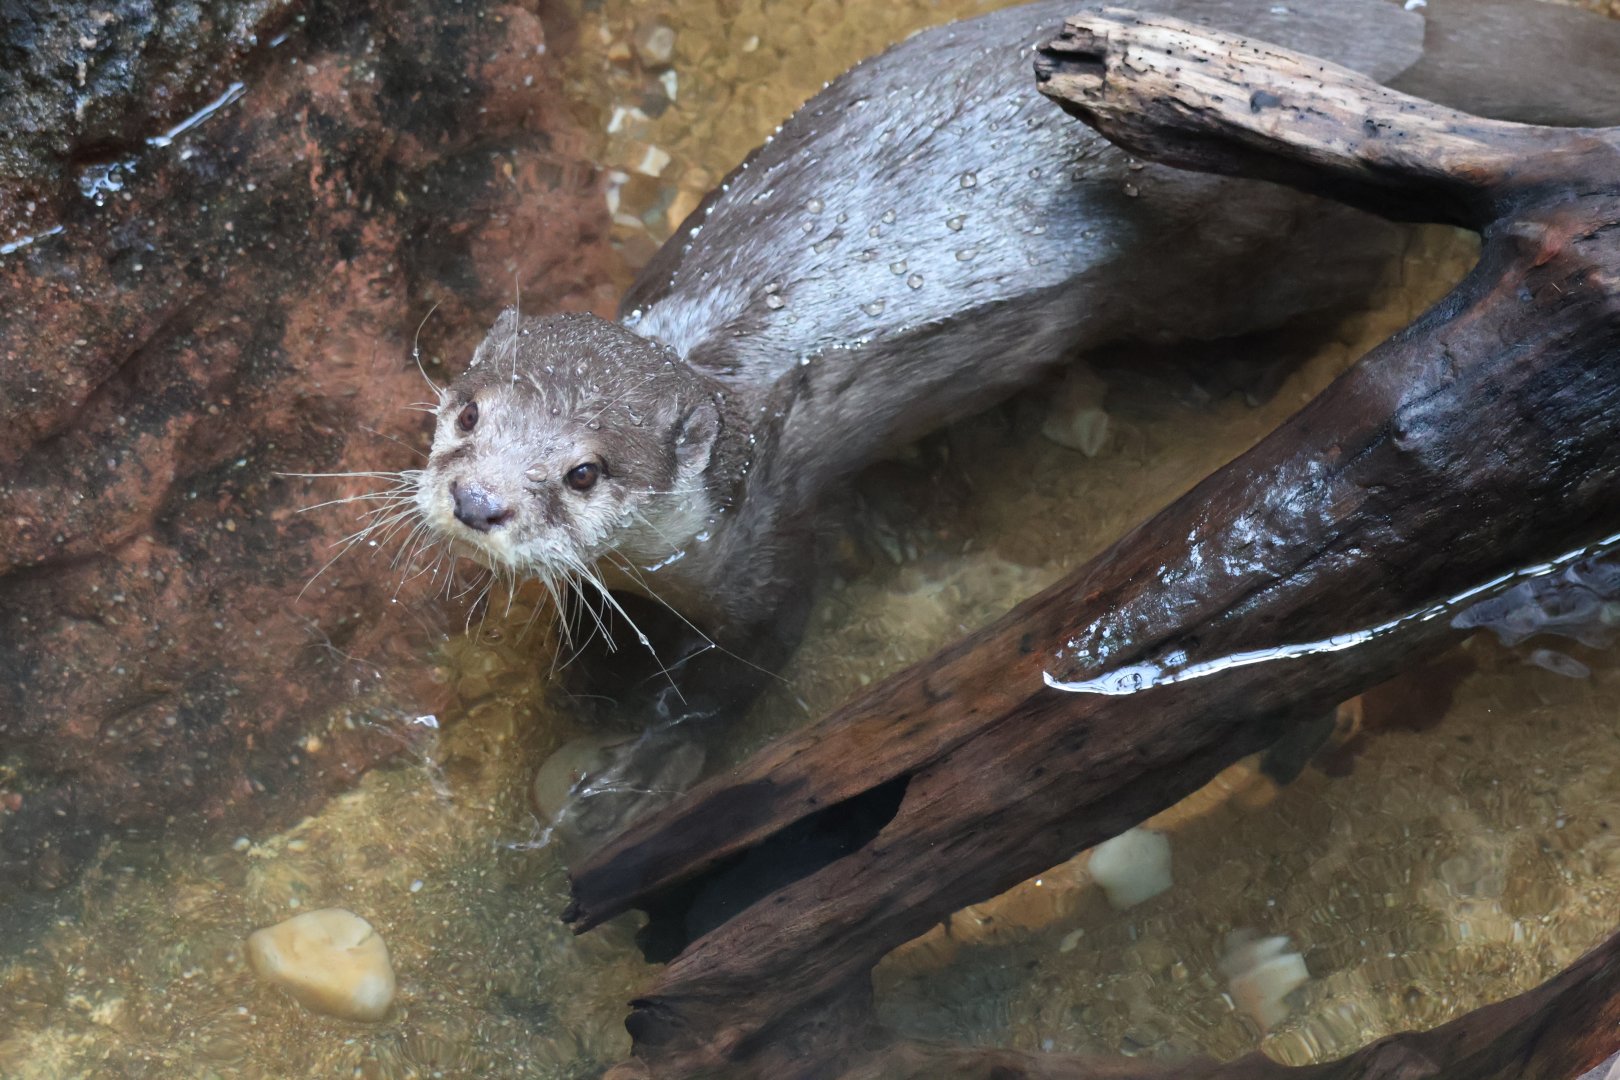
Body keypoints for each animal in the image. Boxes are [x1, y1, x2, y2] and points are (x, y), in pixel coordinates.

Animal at [413, 0, 1620, 834]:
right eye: (467, 414)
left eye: (584, 471)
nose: (476, 502)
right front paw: (579, 681)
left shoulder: (774, 547)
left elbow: (737, 680)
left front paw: (639, 768)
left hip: (1258, 238)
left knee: (1350, 279)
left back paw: (1230, 379)